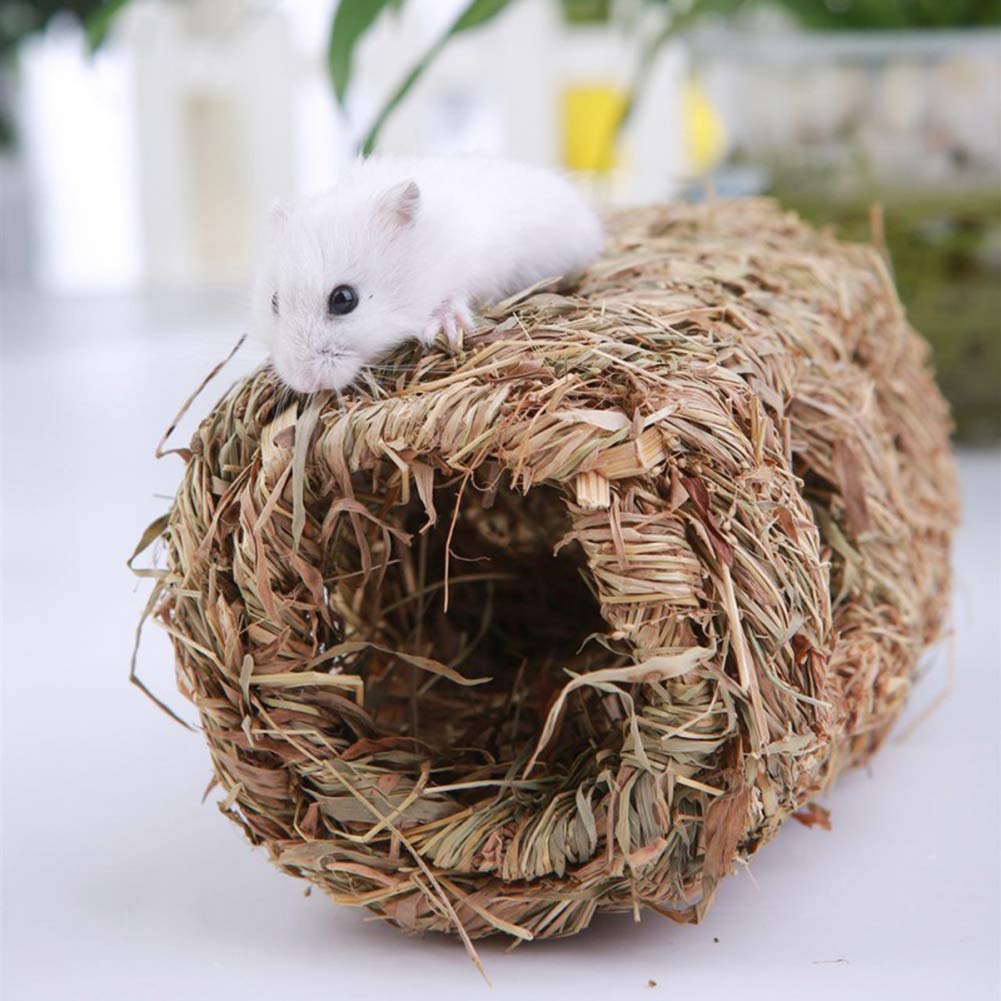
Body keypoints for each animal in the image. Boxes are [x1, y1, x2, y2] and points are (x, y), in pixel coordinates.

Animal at [251, 154, 604, 394]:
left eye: (344, 299)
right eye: (274, 302)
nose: (306, 383)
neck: (426, 260)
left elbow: (455, 299)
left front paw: (441, 330)